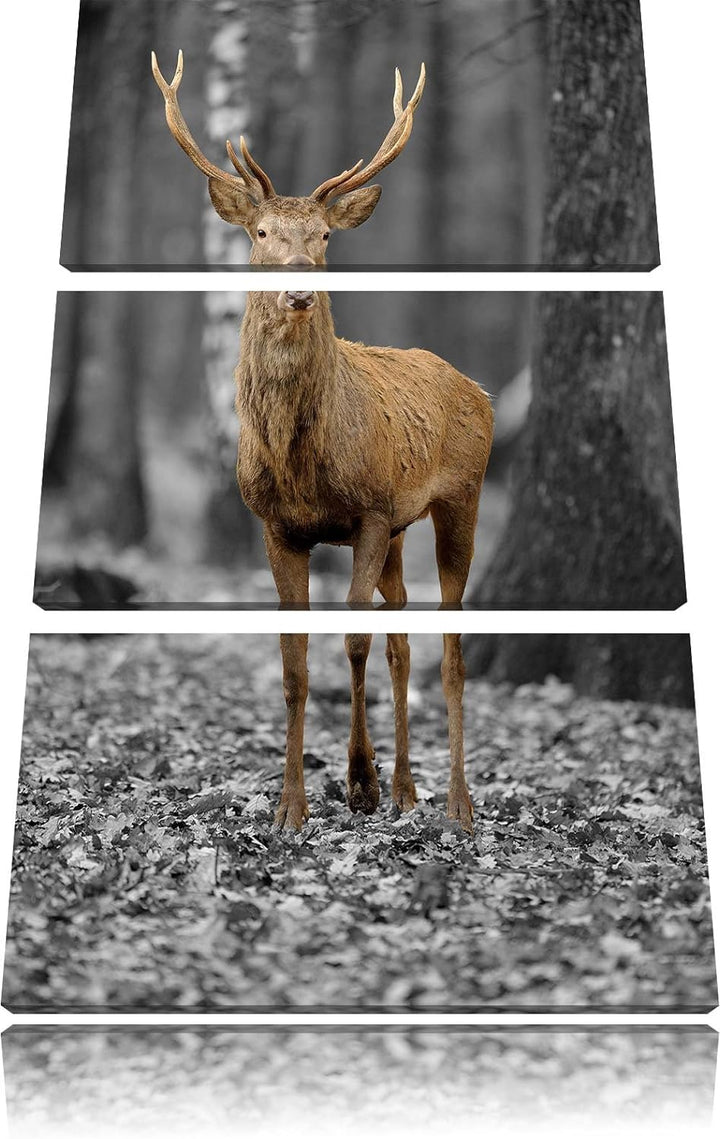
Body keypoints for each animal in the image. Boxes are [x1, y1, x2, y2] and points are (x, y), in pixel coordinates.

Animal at [152, 52, 493, 835]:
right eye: (261, 233)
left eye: (326, 238)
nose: (299, 291)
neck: (300, 462)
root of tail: (478, 388)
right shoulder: (279, 526)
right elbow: (295, 661)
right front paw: (292, 806)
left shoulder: (367, 511)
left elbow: (352, 640)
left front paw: (356, 784)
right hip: (401, 528)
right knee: (403, 637)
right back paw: (407, 788)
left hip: (461, 494)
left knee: (450, 642)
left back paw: (456, 802)